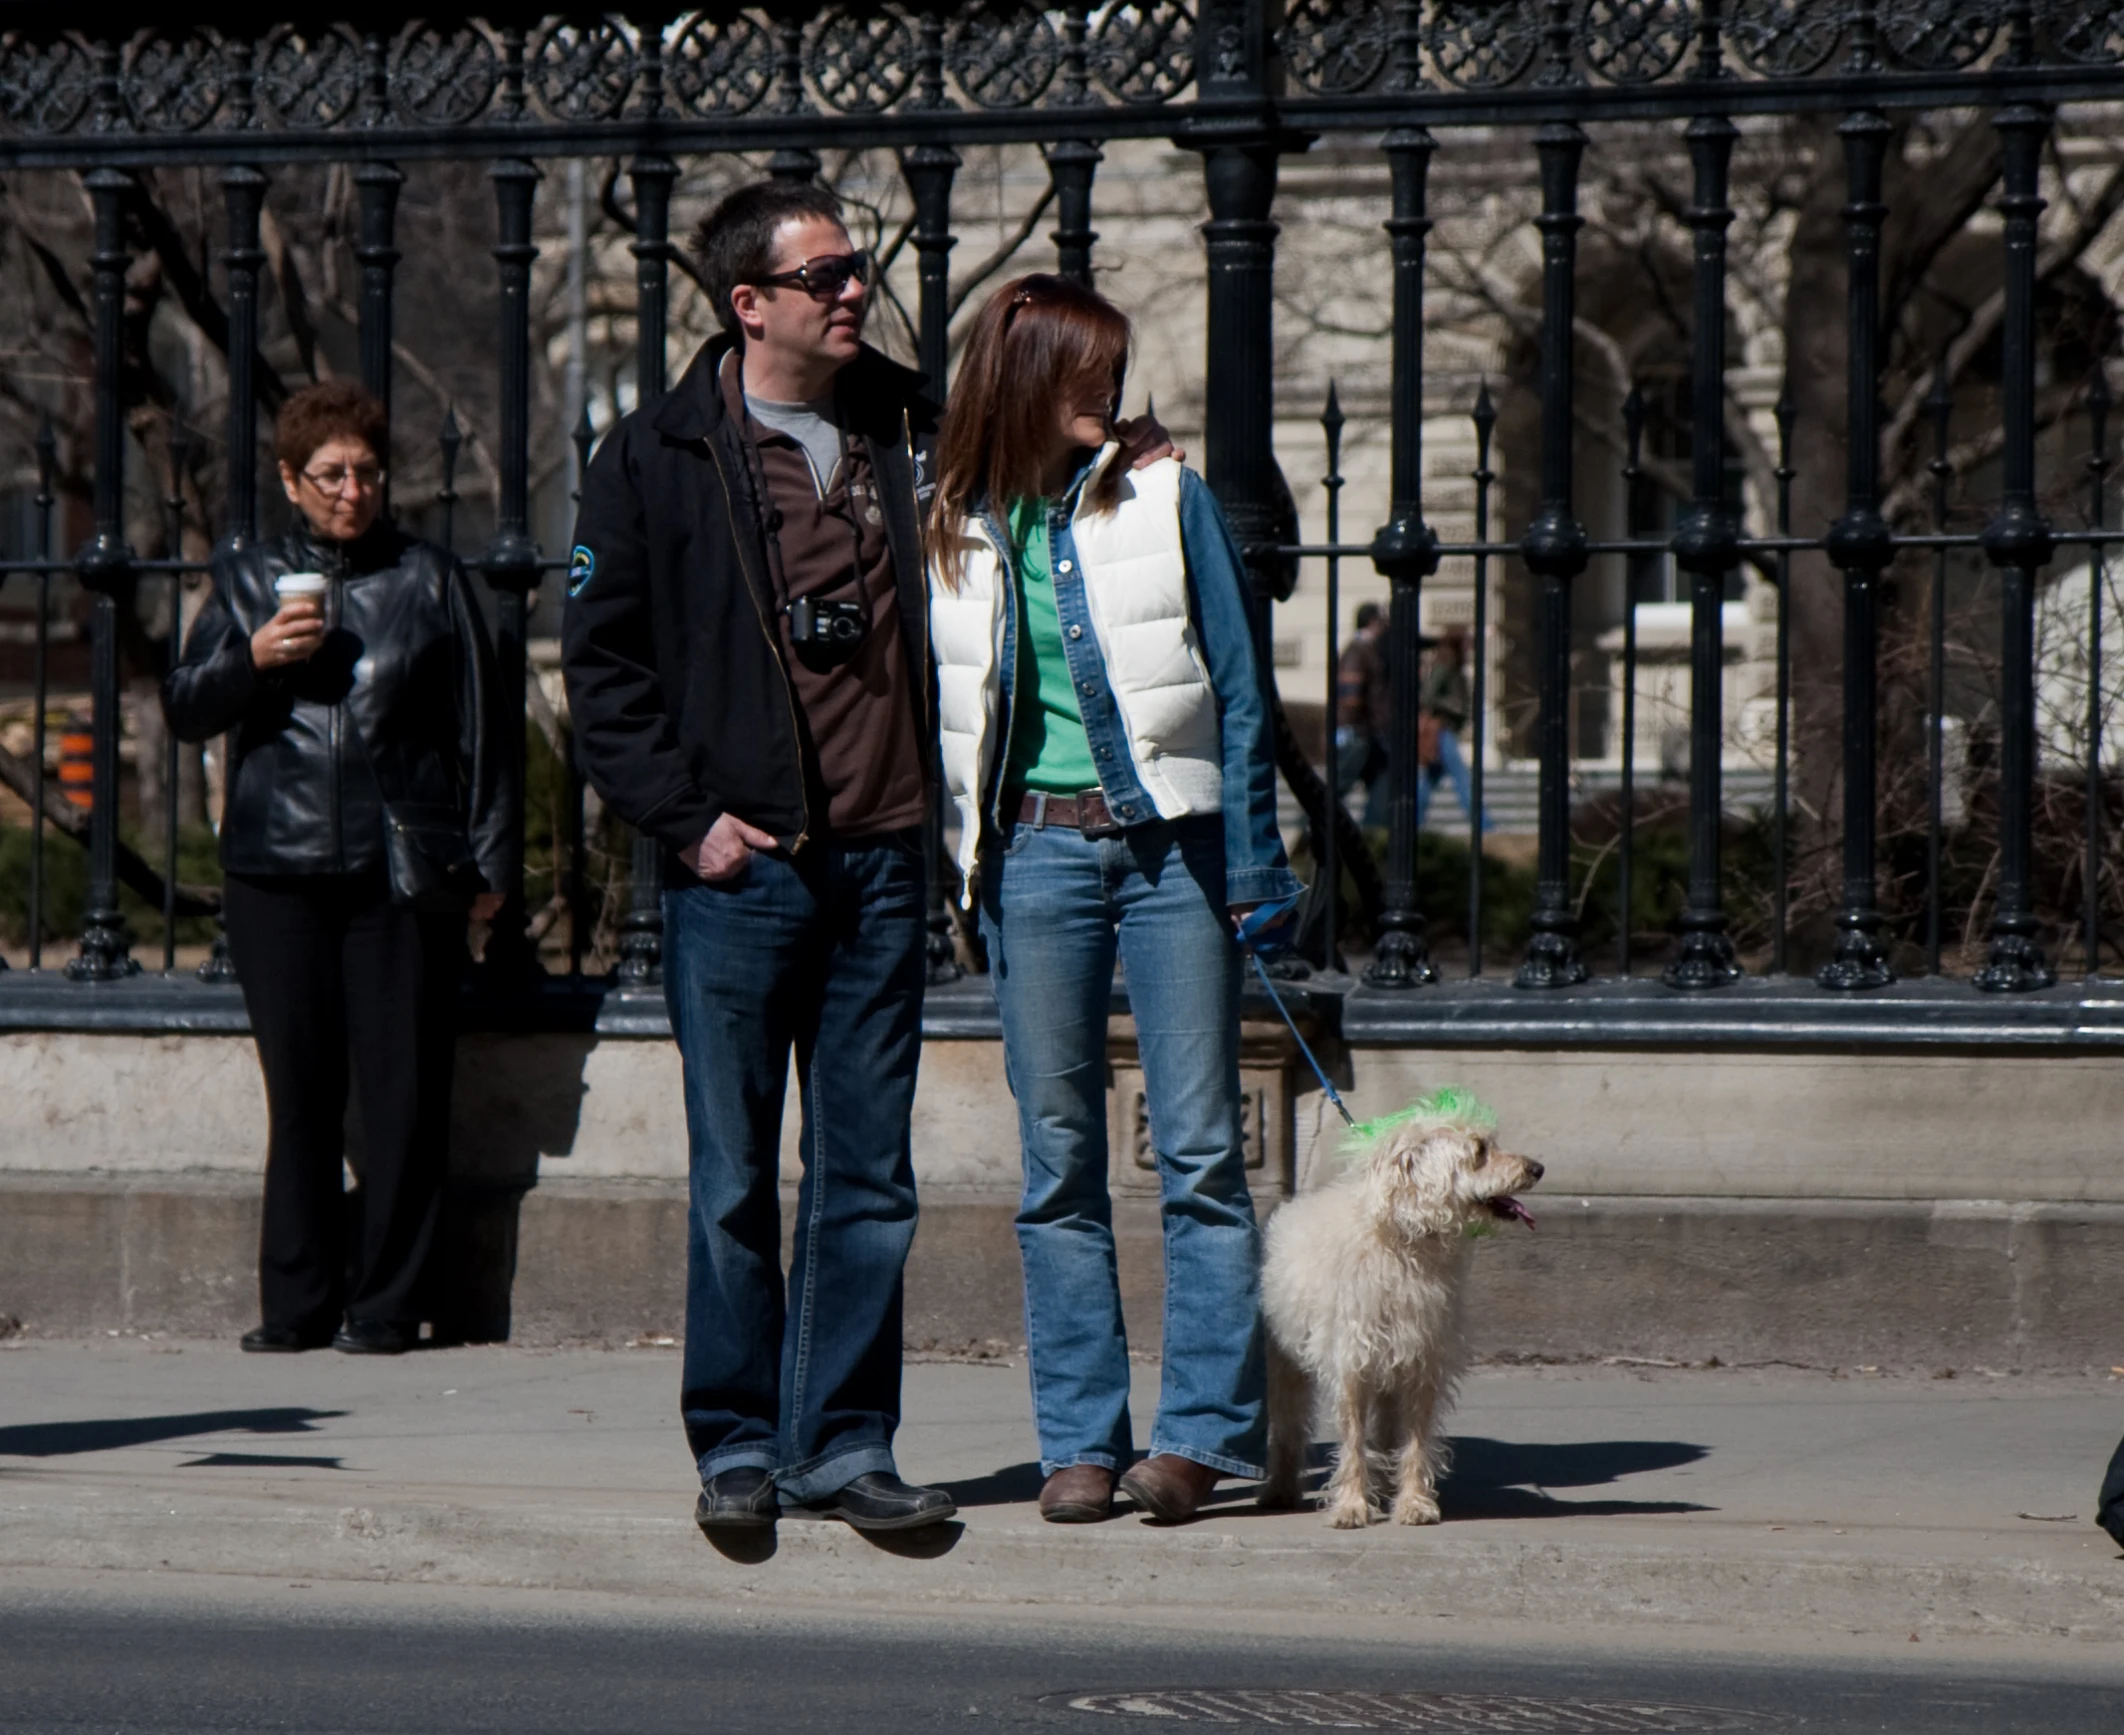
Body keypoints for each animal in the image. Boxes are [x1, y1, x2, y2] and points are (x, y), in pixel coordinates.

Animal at [1257, 1087, 1546, 1520]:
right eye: (1479, 1151)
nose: (1537, 1168)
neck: (1402, 1242)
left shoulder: (1422, 1364)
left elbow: (1415, 1442)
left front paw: (1413, 1502)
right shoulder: (1352, 1365)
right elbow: (1353, 1443)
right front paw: (1351, 1506)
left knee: (1385, 1435)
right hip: (1286, 1366)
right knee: (1288, 1429)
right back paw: (1280, 1489)